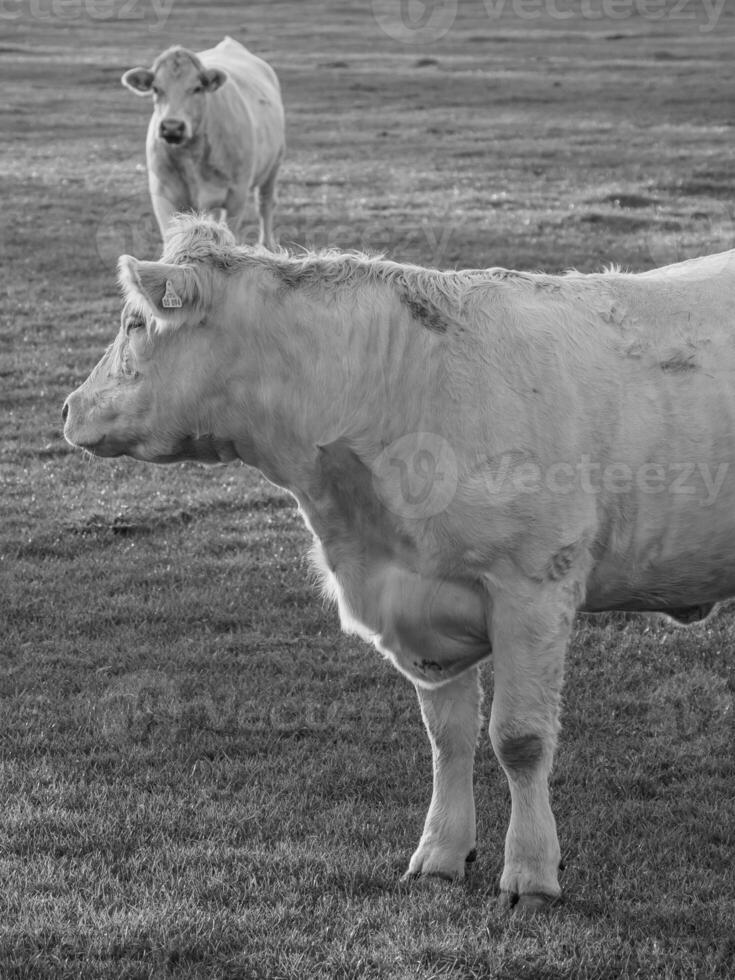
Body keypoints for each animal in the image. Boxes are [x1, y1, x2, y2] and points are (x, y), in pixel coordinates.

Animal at [122, 37, 284, 253]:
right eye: (156, 88)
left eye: (197, 88)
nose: (172, 127)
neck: (190, 156)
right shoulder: (163, 194)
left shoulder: (236, 196)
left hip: (274, 163)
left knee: (265, 203)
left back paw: (267, 245)